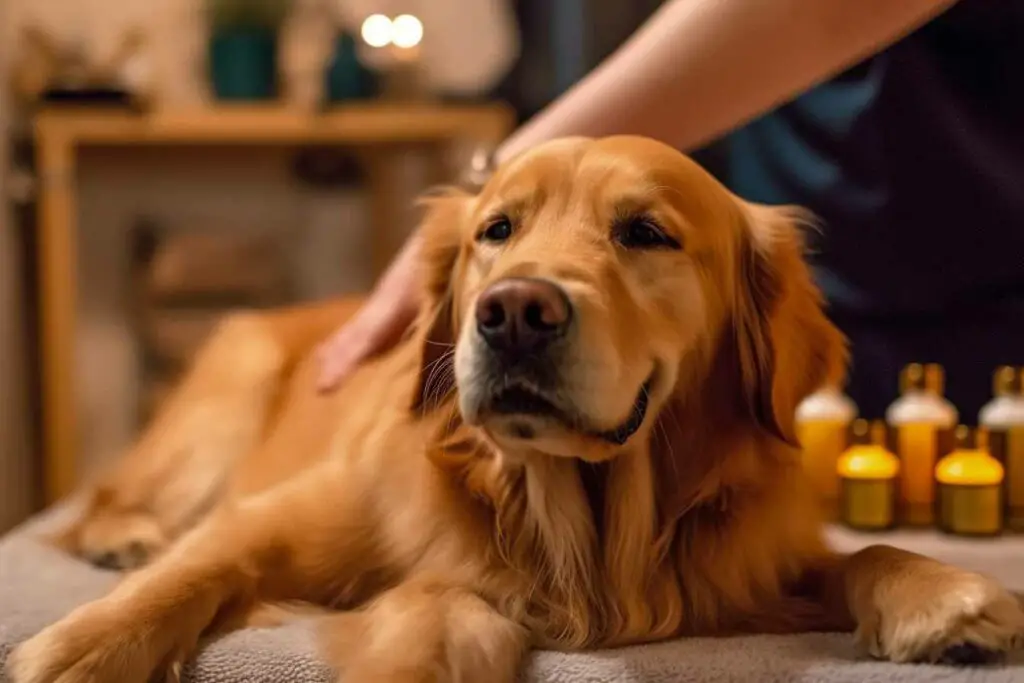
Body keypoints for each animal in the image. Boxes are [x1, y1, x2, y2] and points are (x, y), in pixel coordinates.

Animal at [6, 135, 1015, 683]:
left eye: (646, 232)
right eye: (497, 229)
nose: (514, 312)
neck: (571, 510)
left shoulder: (747, 562)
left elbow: (859, 553)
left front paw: (943, 591)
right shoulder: (276, 517)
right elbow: (189, 571)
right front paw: (75, 648)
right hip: (228, 391)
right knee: (116, 504)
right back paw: (123, 533)